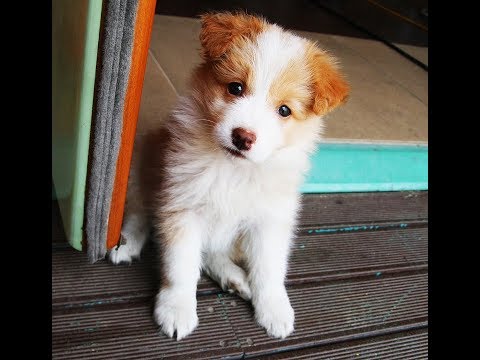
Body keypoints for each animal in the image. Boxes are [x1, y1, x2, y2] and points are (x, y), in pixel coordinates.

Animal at [109, 11, 348, 340]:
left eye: (284, 110)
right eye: (235, 88)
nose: (243, 137)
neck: (234, 170)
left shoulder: (269, 221)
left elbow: (269, 269)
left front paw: (274, 310)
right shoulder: (182, 208)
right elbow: (181, 265)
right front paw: (176, 309)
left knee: (212, 253)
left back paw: (234, 278)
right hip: (141, 167)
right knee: (139, 216)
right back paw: (126, 245)